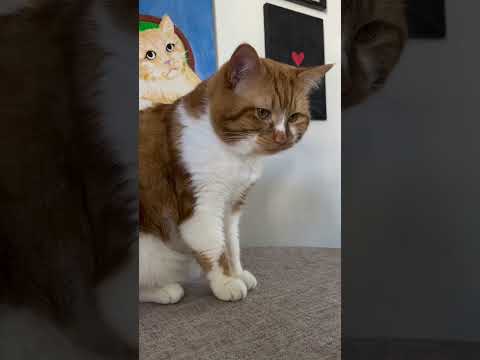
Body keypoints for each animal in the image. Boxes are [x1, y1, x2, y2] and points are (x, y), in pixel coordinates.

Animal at [140, 44, 334, 304]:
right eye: (262, 113)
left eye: (294, 117)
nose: (282, 137)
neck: (237, 157)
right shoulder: (202, 206)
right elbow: (214, 246)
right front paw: (225, 282)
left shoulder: (232, 204)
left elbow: (231, 243)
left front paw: (238, 273)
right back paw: (163, 290)